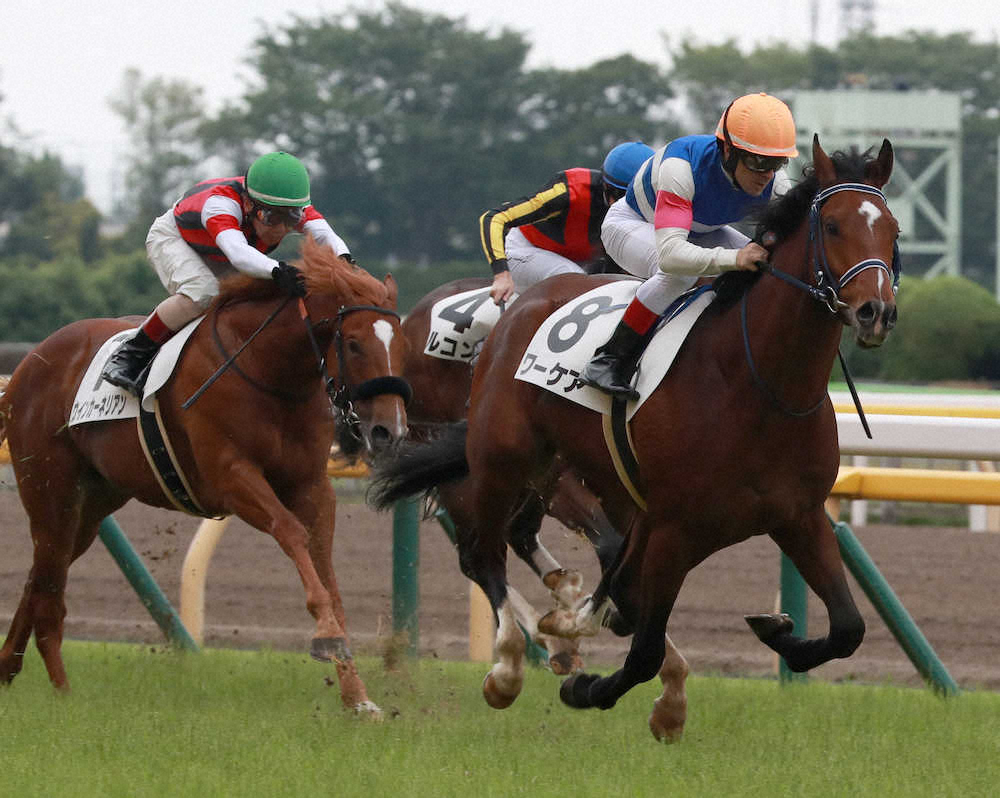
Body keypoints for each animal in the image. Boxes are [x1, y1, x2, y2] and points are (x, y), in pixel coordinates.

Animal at [0, 237, 410, 717]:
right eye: (354, 343)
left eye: (401, 345)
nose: (388, 430)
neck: (270, 371)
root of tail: (29, 363)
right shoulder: (231, 478)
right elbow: (291, 533)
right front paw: (327, 641)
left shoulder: (311, 485)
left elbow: (326, 571)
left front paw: (358, 696)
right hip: (51, 489)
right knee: (49, 587)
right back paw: (62, 691)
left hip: (93, 502)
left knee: (42, 572)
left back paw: (8, 667)